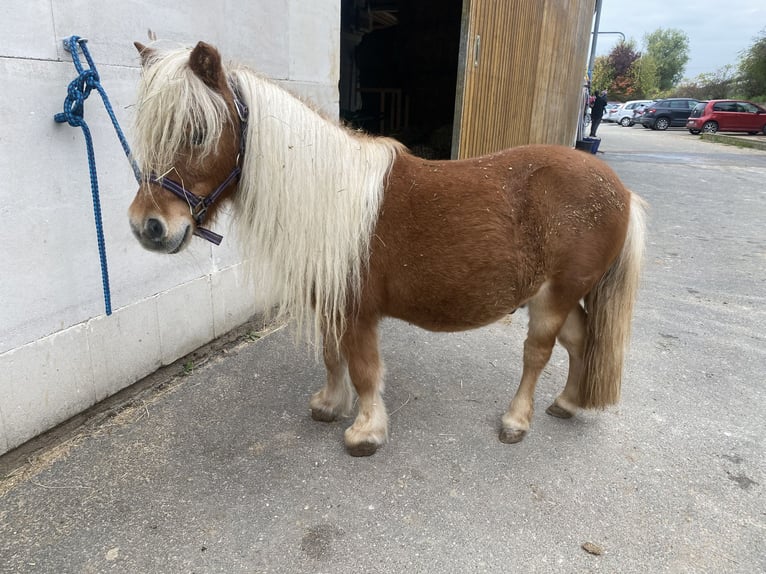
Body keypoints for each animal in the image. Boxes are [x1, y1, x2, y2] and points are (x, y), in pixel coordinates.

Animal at [128, 41, 647, 457]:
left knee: (538, 352)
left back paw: (517, 420)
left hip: (553, 297)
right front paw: (329, 405)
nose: (147, 226)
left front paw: (366, 433)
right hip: (562, 293)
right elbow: (332, 355)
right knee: (581, 339)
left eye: (198, 132)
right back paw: (567, 402)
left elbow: (363, 369)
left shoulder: (358, 310)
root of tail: (622, 193)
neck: (328, 194)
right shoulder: (331, 300)